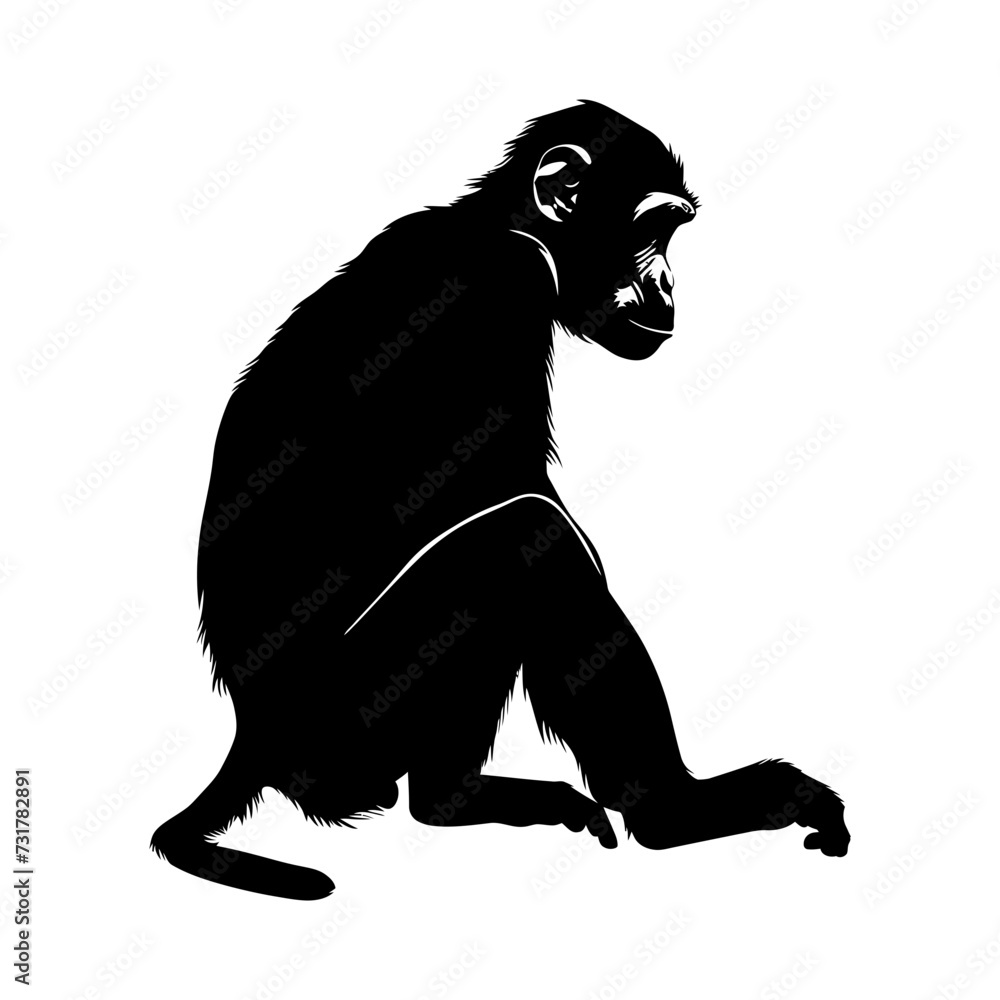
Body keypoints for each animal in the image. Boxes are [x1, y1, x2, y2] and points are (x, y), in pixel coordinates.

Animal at [151, 100, 849, 900]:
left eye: (675, 235)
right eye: (651, 230)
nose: (672, 286)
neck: (505, 227)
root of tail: (251, 739)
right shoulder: (506, 285)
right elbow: (513, 494)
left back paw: (463, 798)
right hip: (346, 718)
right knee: (519, 539)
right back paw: (669, 810)